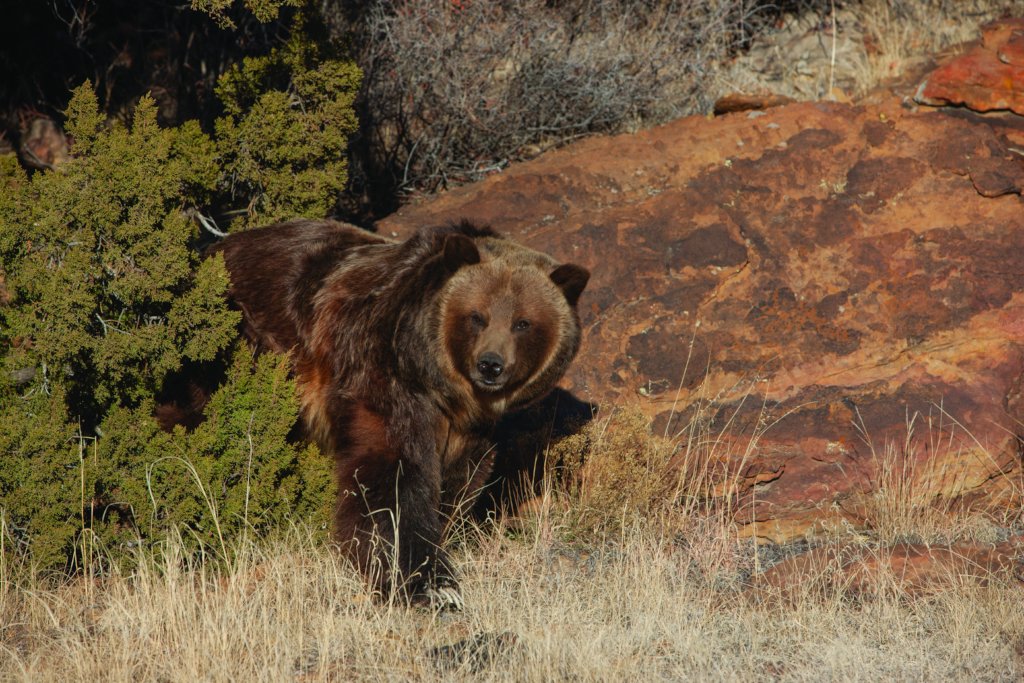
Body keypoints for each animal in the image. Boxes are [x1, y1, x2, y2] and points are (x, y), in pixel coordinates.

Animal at [211, 218, 589, 602]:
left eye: (523, 323)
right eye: (477, 316)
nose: (490, 365)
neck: (445, 390)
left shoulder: (471, 431)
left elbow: (460, 483)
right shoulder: (385, 377)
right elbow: (395, 480)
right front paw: (426, 579)